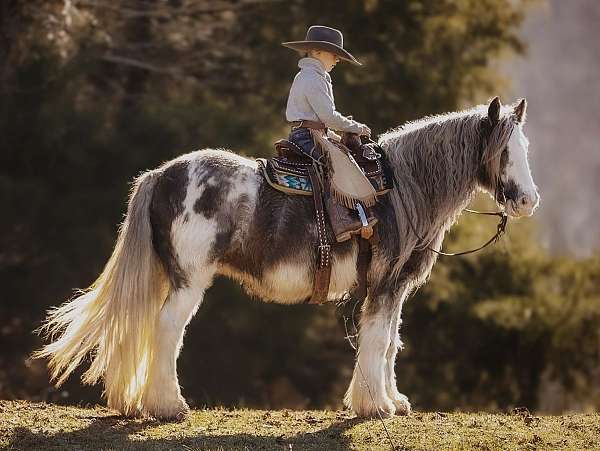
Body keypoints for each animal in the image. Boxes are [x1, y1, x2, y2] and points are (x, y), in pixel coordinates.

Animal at [34, 95, 540, 420]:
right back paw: (169, 406)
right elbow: (378, 340)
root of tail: (161, 175)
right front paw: (374, 405)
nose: (528, 201)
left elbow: (391, 341)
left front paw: (394, 401)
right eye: (504, 150)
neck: (400, 189)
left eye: (525, 148)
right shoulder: (383, 284)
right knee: (167, 331)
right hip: (189, 282)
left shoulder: (394, 289)